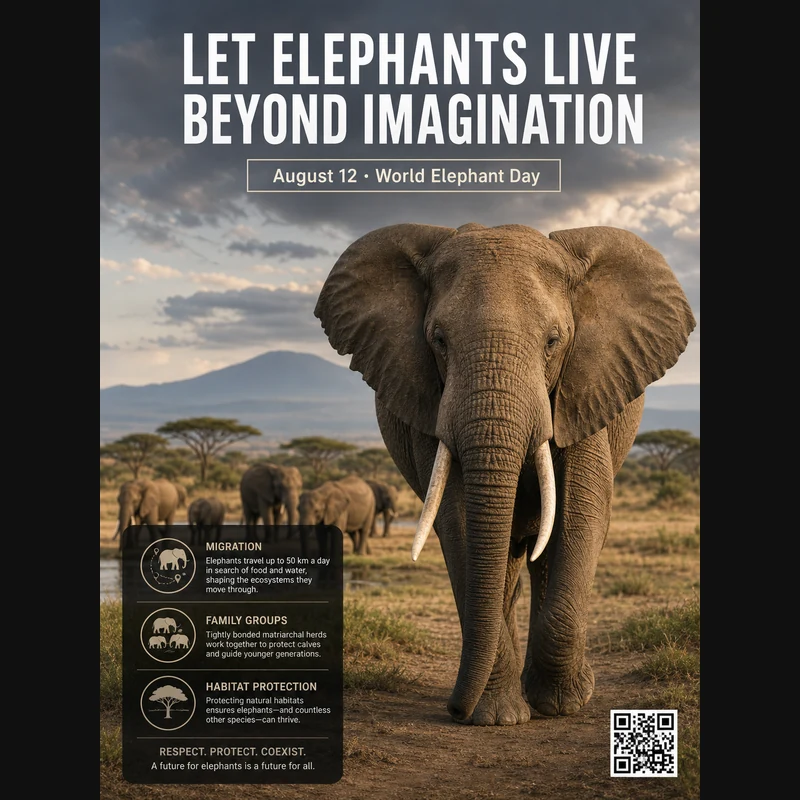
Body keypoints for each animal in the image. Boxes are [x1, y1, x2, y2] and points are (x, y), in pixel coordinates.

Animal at [314, 222, 695, 725]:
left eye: (554, 341)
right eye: (439, 340)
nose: (453, 709)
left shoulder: (585, 387)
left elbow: (579, 517)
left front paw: (564, 704)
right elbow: (459, 523)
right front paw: (496, 717)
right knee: (509, 562)